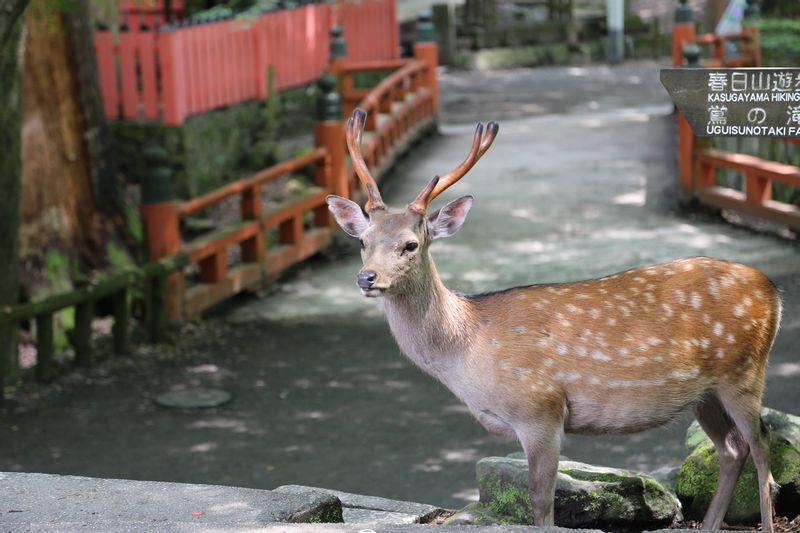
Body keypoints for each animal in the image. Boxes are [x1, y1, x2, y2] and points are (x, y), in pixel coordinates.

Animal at [324, 107, 780, 528]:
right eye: (363, 241)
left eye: (411, 244)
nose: (367, 278)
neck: (468, 350)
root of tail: (772, 290)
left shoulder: (540, 409)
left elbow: (541, 501)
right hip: (706, 393)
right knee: (732, 448)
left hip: (743, 371)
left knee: (762, 445)